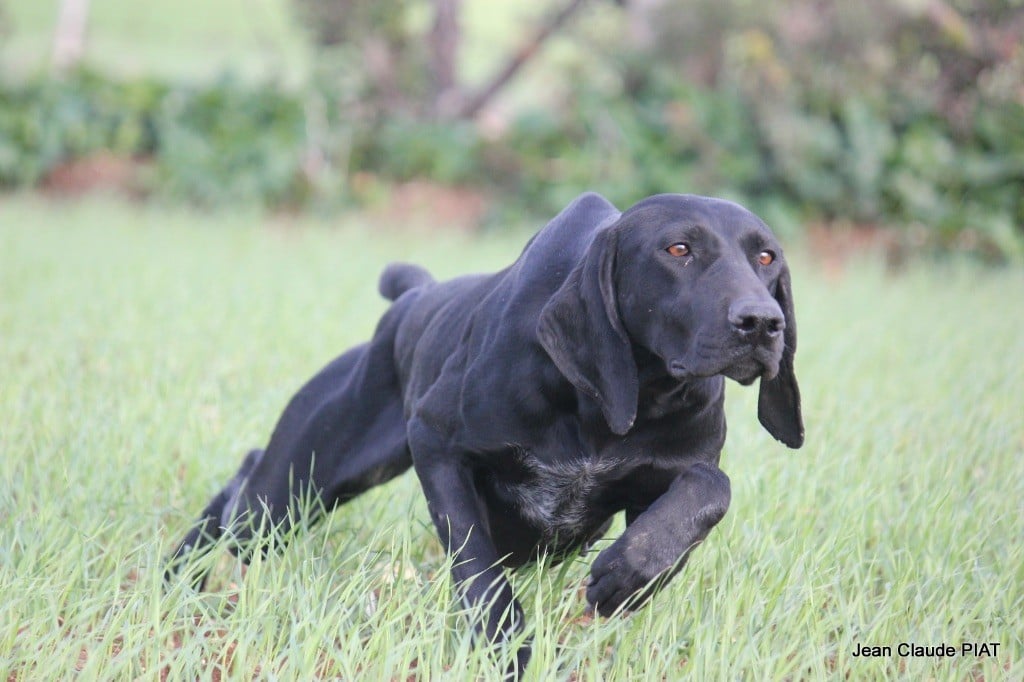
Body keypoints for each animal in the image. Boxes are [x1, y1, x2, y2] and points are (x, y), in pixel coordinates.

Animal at [167, 191, 802, 667]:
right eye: (678, 249)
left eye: (767, 258)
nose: (761, 322)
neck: (613, 403)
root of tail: (415, 295)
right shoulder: (438, 446)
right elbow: (478, 568)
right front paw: (506, 650)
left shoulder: (670, 477)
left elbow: (708, 492)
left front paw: (630, 573)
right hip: (292, 493)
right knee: (243, 487)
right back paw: (176, 578)